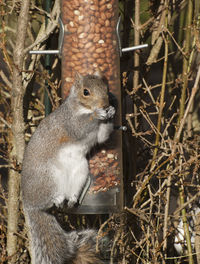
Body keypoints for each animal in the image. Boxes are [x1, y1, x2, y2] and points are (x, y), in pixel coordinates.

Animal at [20, 71, 115, 262]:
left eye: (106, 88)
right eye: (86, 92)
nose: (105, 104)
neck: (82, 108)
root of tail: (29, 204)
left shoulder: (99, 134)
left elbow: (103, 136)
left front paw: (111, 112)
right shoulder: (69, 122)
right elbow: (80, 126)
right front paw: (98, 113)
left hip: (80, 171)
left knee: (70, 193)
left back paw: (71, 198)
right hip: (49, 176)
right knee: (47, 200)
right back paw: (55, 198)